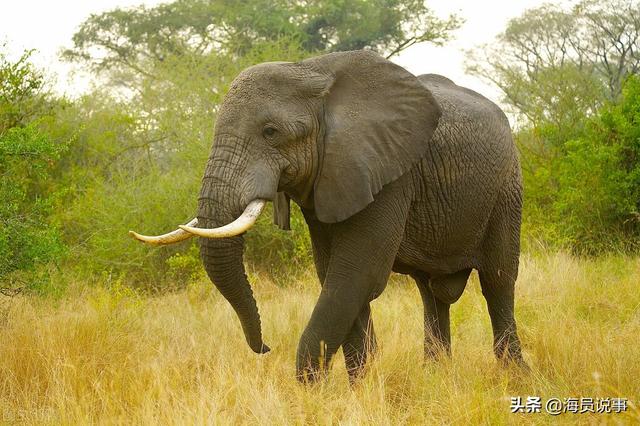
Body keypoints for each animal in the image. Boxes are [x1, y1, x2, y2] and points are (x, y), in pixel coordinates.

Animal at [129, 50, 524, 382]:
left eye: (270, 132)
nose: (266, 347)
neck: (310, 71)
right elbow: (335, 275)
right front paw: (359, 386)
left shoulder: (388, 173)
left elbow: (355, 275)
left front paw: (312, 392)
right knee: (431, 292)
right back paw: (435, 375)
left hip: (507, 188)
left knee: (498, 280)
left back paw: (513, 375)